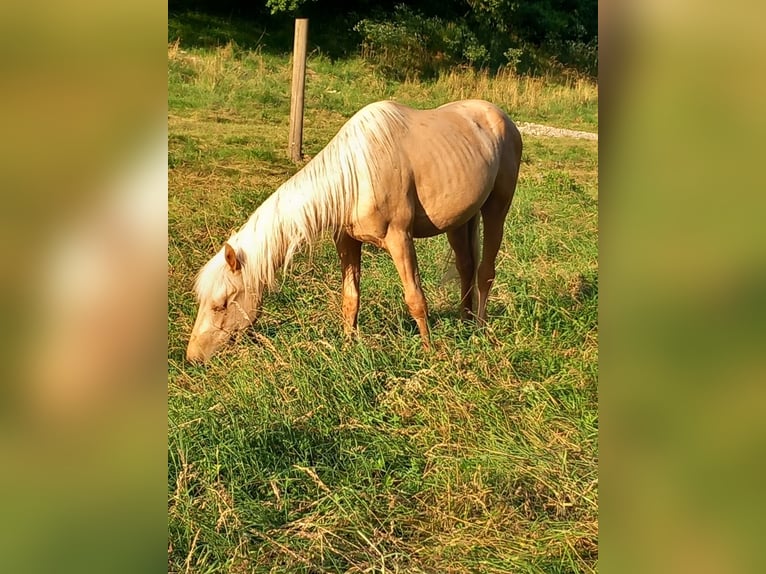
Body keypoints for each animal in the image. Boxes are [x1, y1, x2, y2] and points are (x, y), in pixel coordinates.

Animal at [186, 97, 520, 362]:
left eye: (221, 304)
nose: (194, 356)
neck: (357, 175)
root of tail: (501, 117)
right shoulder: (346, 242)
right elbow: (350, 299)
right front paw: (348, 347)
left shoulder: (400, 240)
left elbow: (415, 299)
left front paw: (428, 352)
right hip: (460, 221)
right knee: (466, 268)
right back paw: (465, 323)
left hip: (496, 209)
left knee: (484, 272)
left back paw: (480, 330)